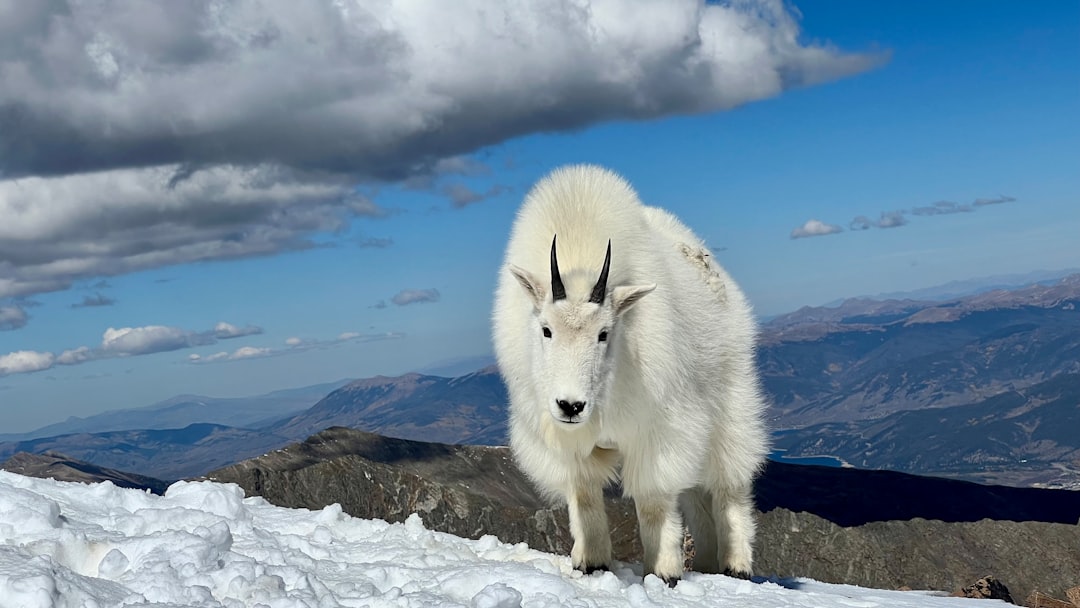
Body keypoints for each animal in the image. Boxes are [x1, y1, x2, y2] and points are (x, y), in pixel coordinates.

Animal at [492, 164, 769, 585]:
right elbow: (584, 493)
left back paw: (735, 564)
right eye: (546, 329)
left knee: (729, 485)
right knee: (696, 497)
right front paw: (591, 562)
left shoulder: (660, 429)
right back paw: (706, 563)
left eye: (605, 333)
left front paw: (664, 572)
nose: (570, 406)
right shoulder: (562, 441)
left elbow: (654, 500)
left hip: (731, 399)